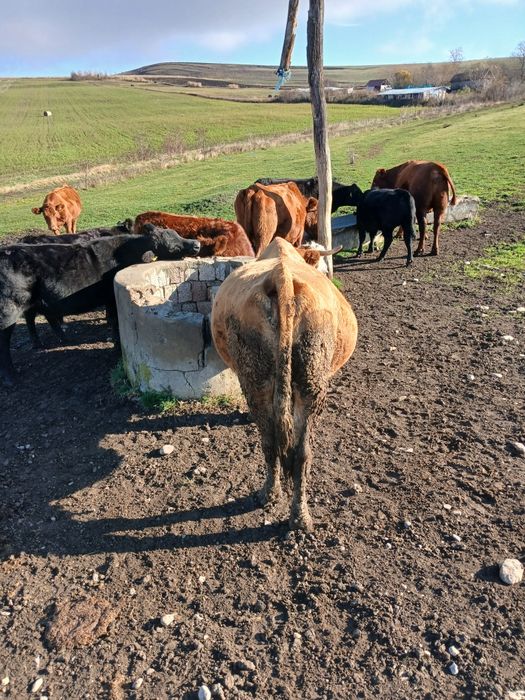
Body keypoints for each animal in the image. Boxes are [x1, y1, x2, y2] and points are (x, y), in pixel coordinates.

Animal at [0, 225, 200, 386]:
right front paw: (117, 347)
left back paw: (52, 341)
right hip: (9, 310)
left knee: (36, 317)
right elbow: (114, 321)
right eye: (171, 246)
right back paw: (12, 378)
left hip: (34, 302)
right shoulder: (110, 297)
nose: (196, 244)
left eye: (177, 234)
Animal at [211, 237, 358, 531]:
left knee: (277, 444)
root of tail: (282, 276)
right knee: (298, 450)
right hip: (310, 376)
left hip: (259, 379)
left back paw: (279, 501)